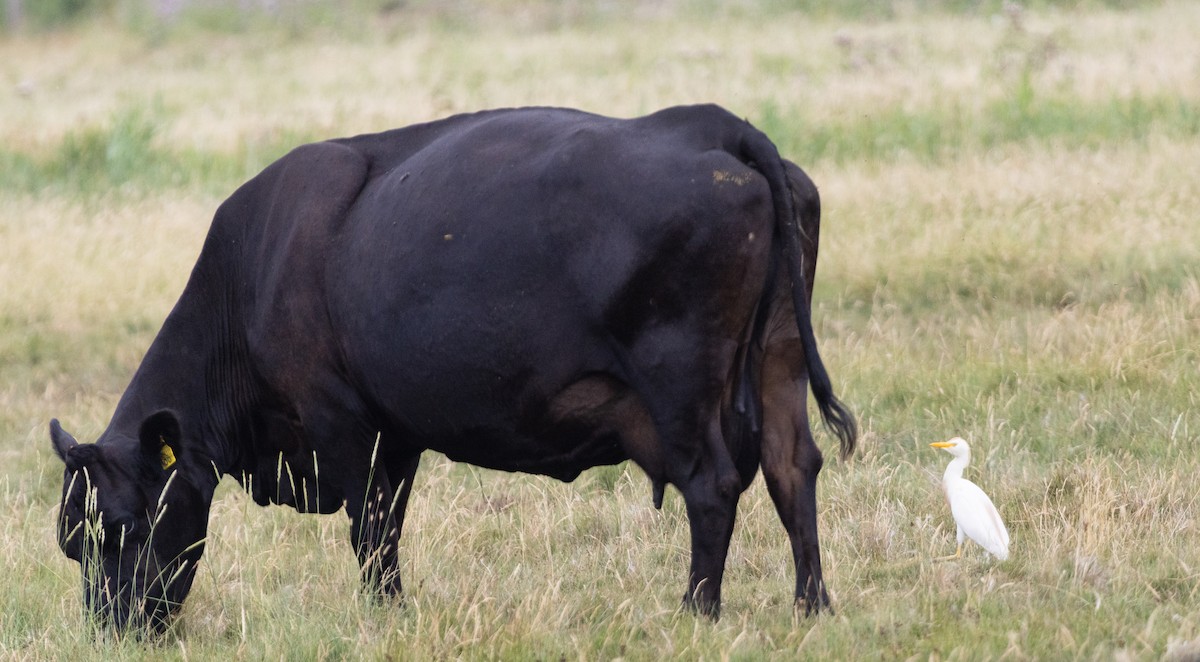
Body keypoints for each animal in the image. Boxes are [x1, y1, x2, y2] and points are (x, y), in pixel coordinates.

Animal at [49, 104, 856, 632]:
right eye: (72, 544)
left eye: (122, 527)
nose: (112, 629)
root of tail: (711, 124)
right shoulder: (396, 433)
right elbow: (387, 529)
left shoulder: (342, 421)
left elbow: (369, 530)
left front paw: (383, 618)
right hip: (778, 356)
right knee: (792, 466)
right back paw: (811, 607)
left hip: (680, 385)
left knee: (714, 484)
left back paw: (696, 614)